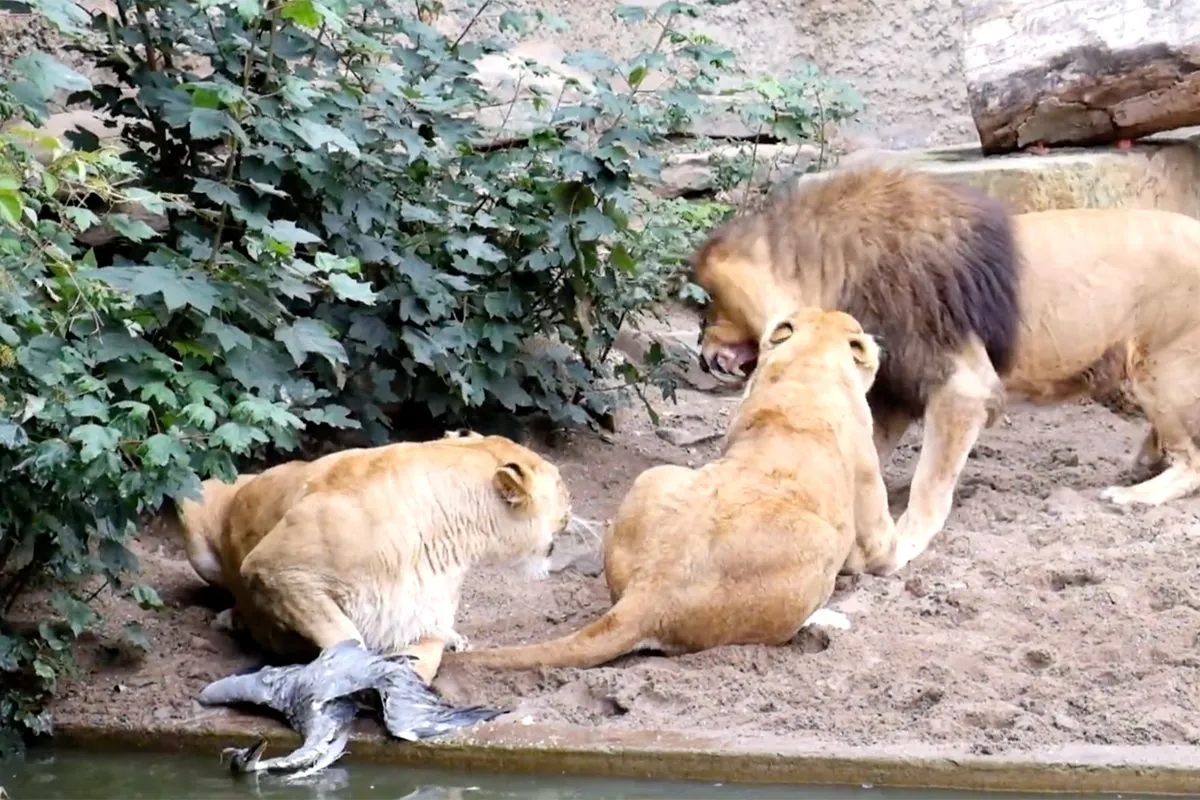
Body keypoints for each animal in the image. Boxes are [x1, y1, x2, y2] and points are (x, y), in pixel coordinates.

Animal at [170, 431, 576, 777]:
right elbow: (344, 637)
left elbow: (420, 666)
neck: (446, 533)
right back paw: (232, 619)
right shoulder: (275, 569)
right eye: (559, 484)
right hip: (194, 498)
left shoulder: (425, 620)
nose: (572, 503)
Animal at [446, 309, 897, 671]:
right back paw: (829, 619)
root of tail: (653, 590)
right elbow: (890, 551)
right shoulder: (873, 523)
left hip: (655, 477)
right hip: (819, 548)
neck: (810, 367)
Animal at [696, 165, 1200, 568]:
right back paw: (1144, 460)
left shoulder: (963, 386)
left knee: (1192, 461)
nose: (703, 355)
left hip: (1160, 371)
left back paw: (1133, 494)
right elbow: (866, 455)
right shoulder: (897, 387)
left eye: (712, 304)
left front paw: (906, 540)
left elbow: (930, 479)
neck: (842, 271)